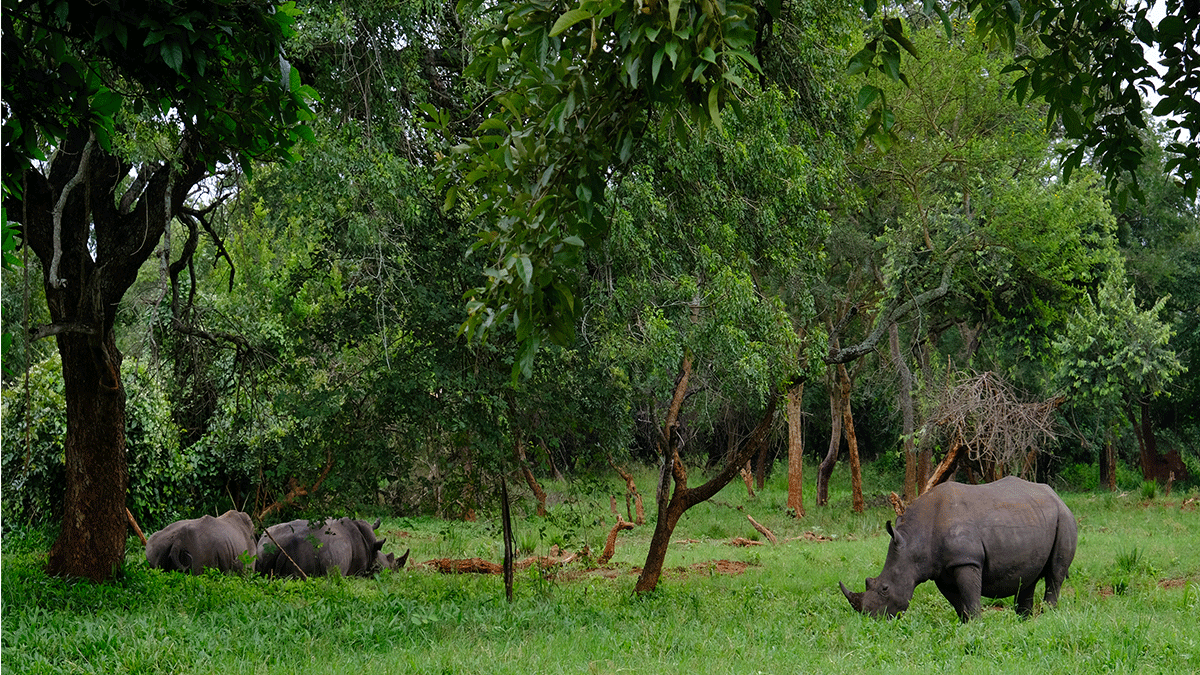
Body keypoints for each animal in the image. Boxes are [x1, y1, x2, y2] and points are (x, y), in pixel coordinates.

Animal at [839, 476, 1077, 622]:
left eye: (885, 589)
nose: (871, 619)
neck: (915, 539)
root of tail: (1057, 496)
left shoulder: (966, 560)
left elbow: (971, 598)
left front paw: (977, 626)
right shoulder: (941, 570)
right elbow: (958, 603)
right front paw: (966, 627)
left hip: (1064, 518)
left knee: (1055, 573)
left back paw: (1048, 616)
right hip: (1034, 515)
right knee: (1028, 577)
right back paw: (1024, 622)